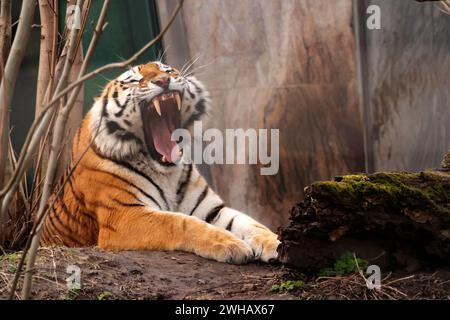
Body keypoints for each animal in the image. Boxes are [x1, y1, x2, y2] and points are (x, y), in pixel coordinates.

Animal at [42, 61, 282, 264]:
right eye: (135, 79)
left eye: (167, 70)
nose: (164, 80)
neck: (167, 173)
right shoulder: (124, 215)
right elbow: (180, 222)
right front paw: (230, 244)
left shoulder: (212, 209)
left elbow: (251, 224)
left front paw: (278, 243)